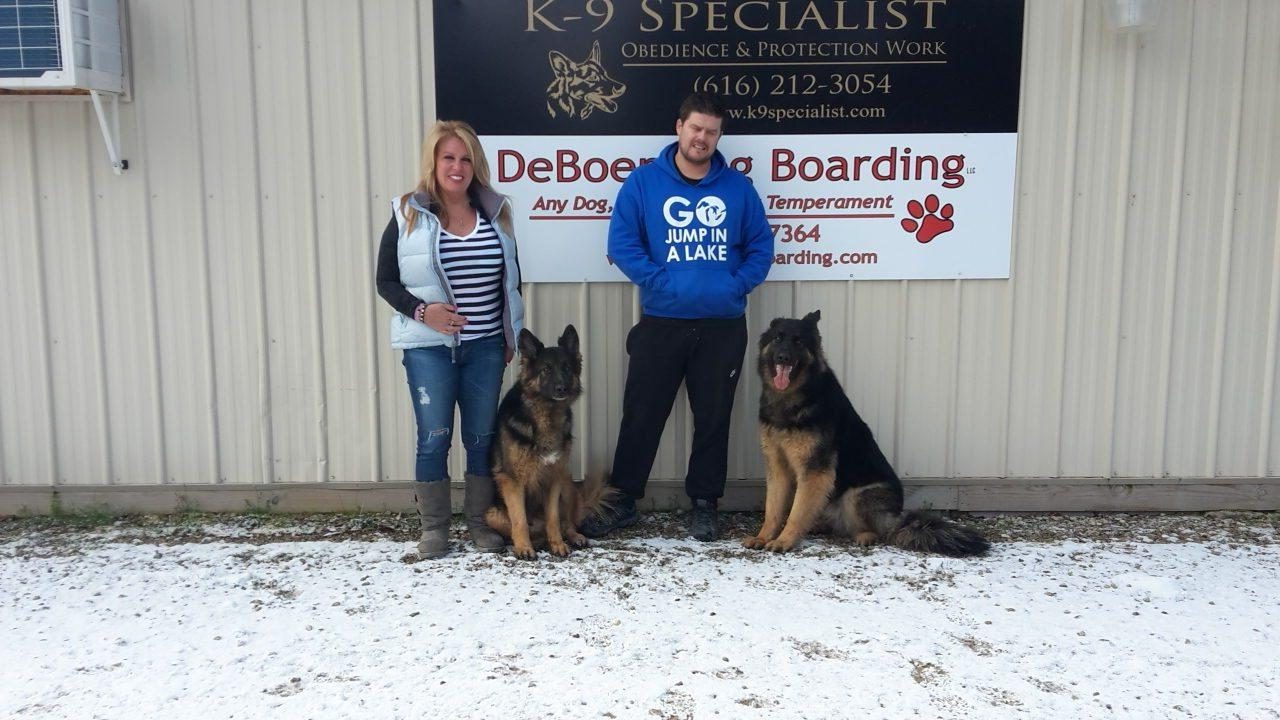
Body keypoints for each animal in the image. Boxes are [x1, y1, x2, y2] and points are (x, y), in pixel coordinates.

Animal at [487, 325, 592, 559]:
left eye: (567, 368)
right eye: (546, 370)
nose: (562, 389)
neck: (546, 414)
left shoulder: (554, 478)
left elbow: (554, 518)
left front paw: (558, 544)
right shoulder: (513, 481)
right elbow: (519, 520)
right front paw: (524, 548)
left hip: (567, 484)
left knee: (566, 522)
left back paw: (573, 536)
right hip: (492, 514)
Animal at [744, 311, 989, 557]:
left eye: (798, 341)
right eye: (778, 338)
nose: (783, 357)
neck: (788, 398)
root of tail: (897, 518)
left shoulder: (814, 471)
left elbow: (796, 513)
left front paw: (784, 540)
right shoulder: (778, 468)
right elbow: (773, 509)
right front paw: (763, 536)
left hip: (856, 496)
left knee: (878, 531)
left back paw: (865, 536)